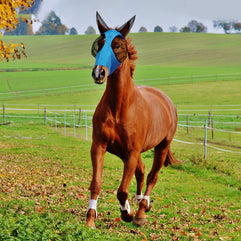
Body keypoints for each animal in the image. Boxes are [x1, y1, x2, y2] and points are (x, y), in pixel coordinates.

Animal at [85, 12, 179, 228]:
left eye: (117, 45)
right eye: (99, 44)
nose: (99, 72)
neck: (119, 107)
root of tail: (166, 101)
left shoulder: (132, 152)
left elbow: (121, 190)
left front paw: (127, 213)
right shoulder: (100, 146)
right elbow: (96, 183)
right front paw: (90, 219)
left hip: (161, 147)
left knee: (152, 176)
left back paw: (141, 211)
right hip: (127, 152)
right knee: (142, 172)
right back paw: (139, 202)